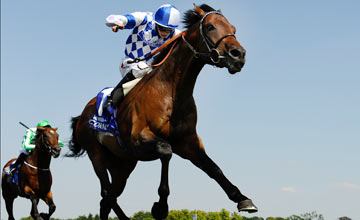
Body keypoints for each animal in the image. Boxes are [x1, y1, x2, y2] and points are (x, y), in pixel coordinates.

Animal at [67, 3, 258, 220]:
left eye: (233, 29)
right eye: (210, 27)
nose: (238, 54)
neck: (172, 92)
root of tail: (81, 116)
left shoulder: (189, 143)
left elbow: (214, 169)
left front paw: (243, 199)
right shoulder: (139, 137)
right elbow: (166, 151)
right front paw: (161, 205)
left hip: (123, 164)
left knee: (107, 199)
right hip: (96, 155)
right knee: (107, 194)